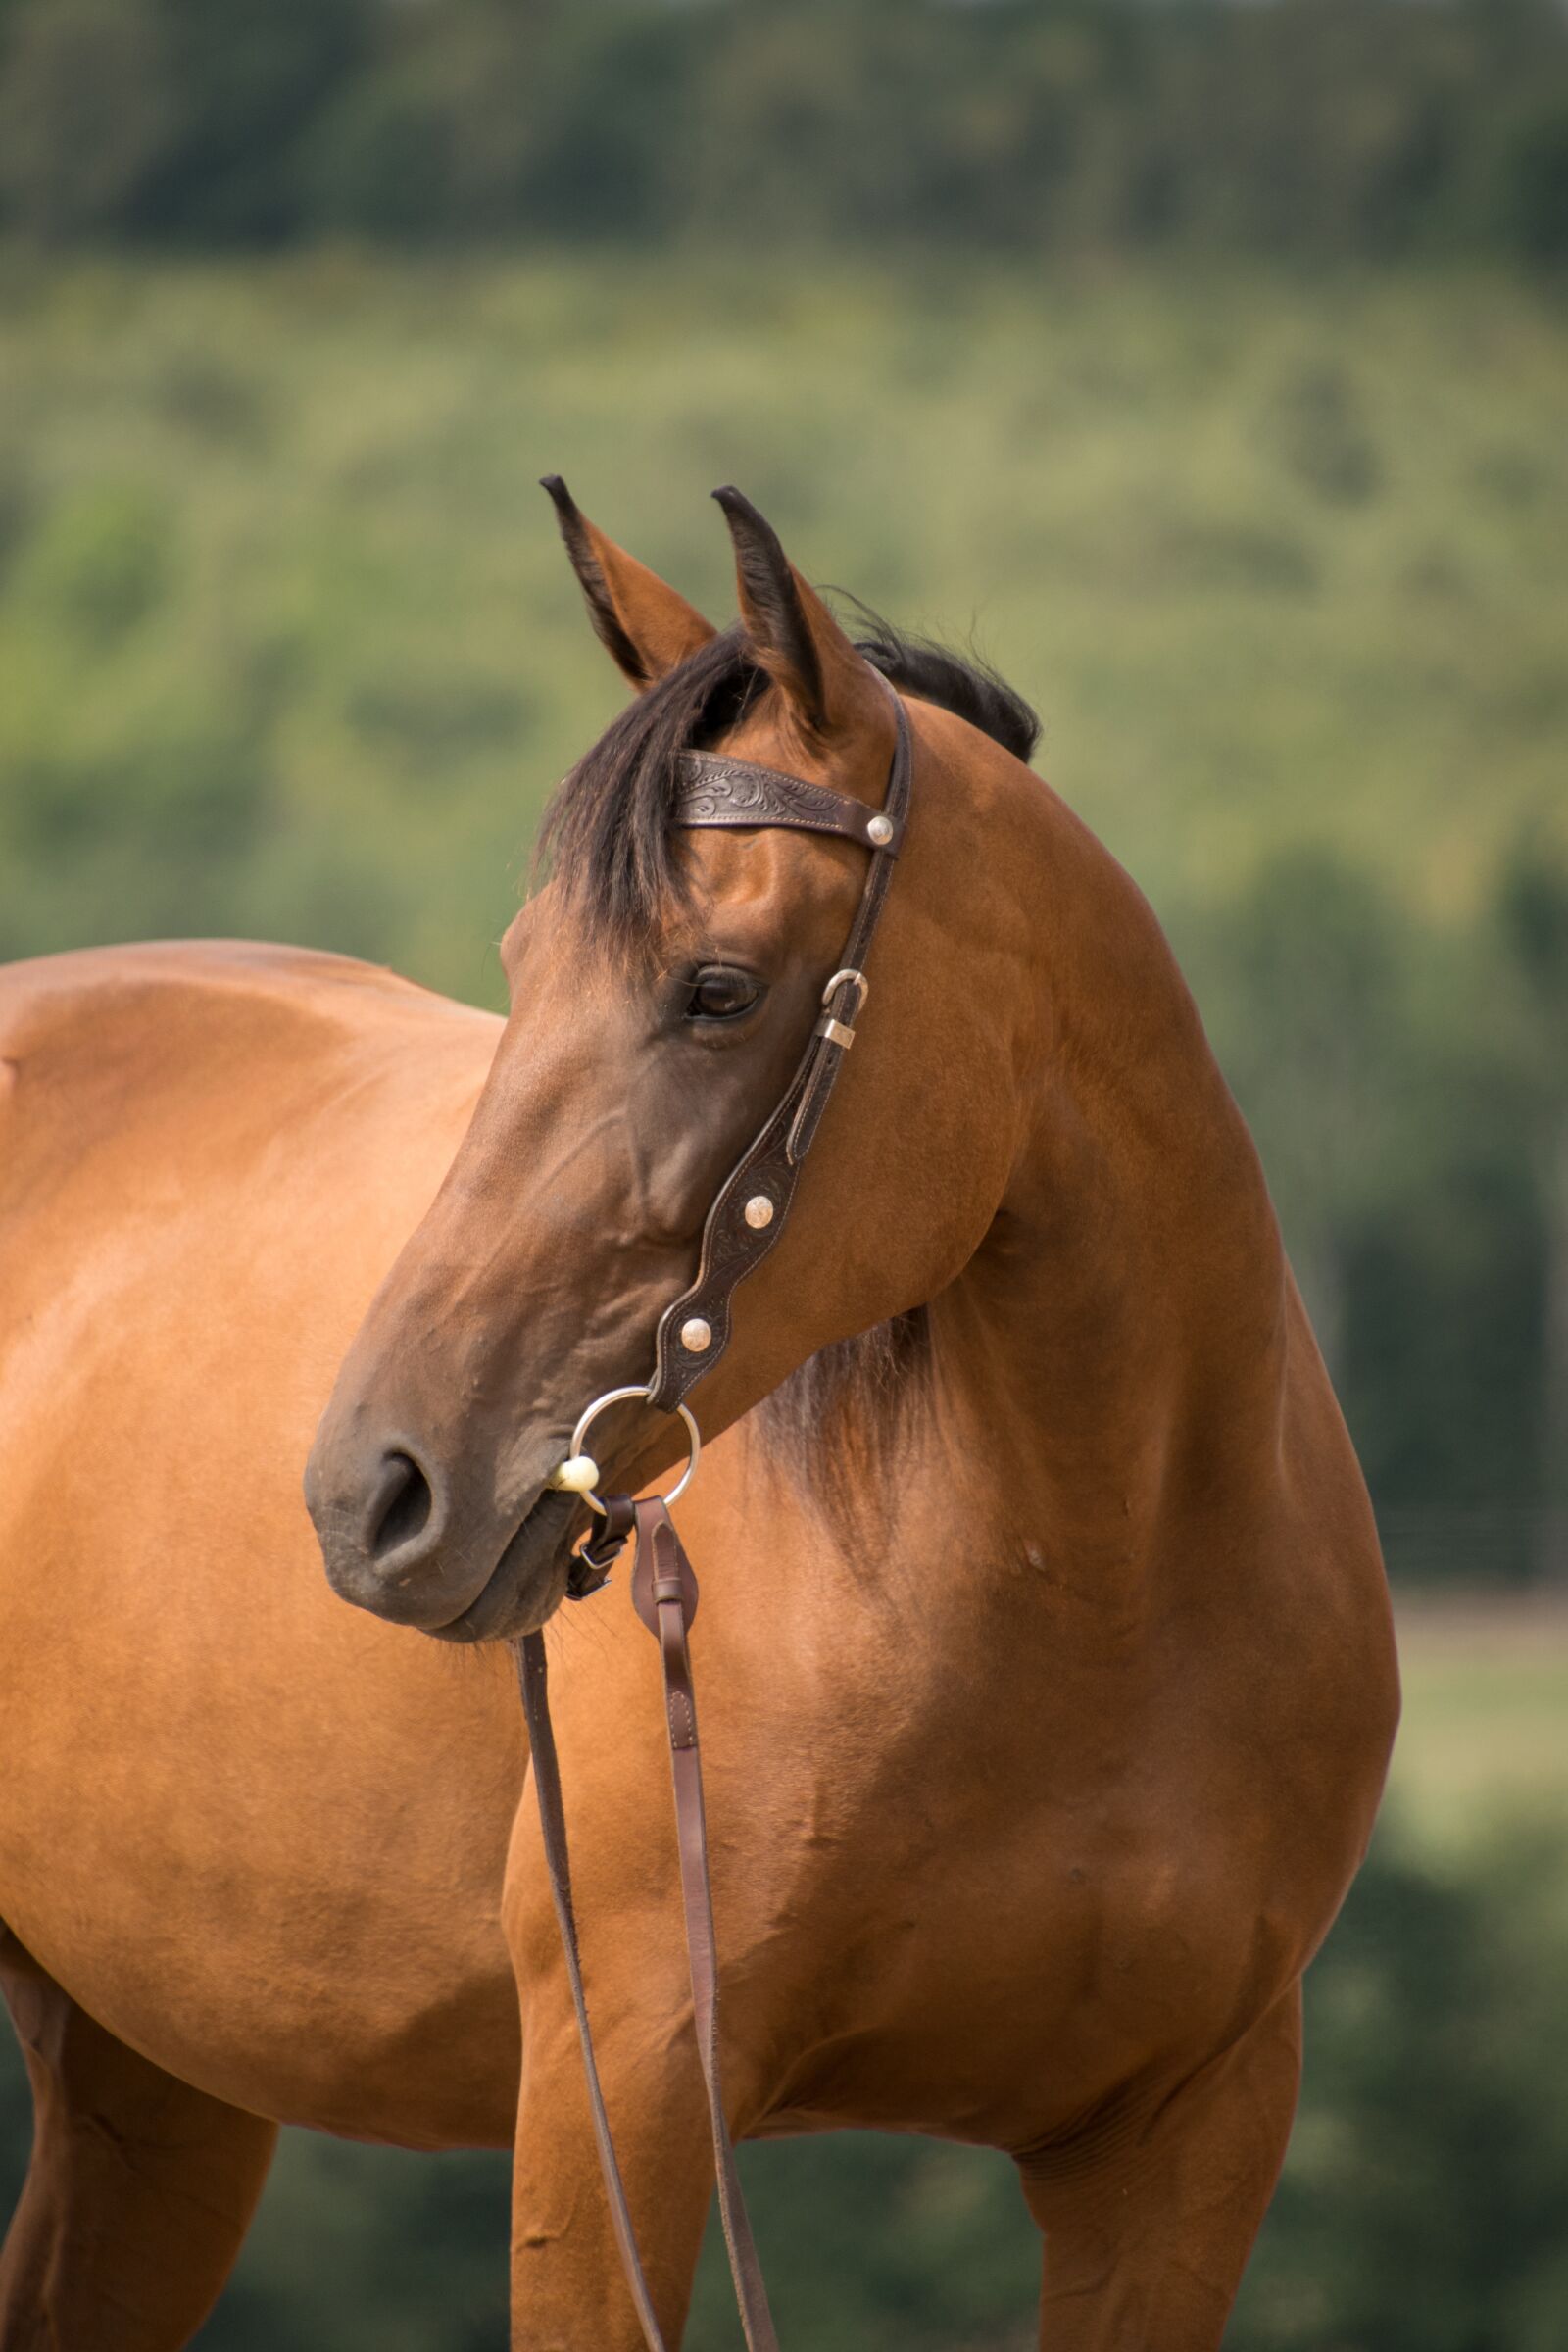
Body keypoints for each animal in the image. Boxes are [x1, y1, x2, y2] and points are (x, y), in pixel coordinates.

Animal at [0, 484, 1398, 2352]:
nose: (376, 1493)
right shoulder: (629, 2097)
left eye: (719, 990)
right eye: (522, 964)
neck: (1094, 1583)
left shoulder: (1189, 2140)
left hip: (152, 2081)